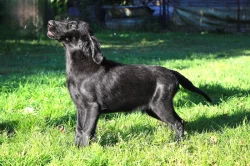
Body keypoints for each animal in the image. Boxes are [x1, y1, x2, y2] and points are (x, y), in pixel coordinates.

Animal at [47, 19, 211, 147]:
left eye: (71, 25)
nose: (49, 22)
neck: (84, 65)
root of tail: (172, 72)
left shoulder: (92, 106)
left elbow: (87, 131)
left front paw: (83, 150)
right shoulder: (80, 107)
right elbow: (79, 129)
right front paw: (75, 148)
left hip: (161, 105)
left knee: (178, 122)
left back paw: (177, 143)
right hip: (153, 109)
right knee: (179, 121)